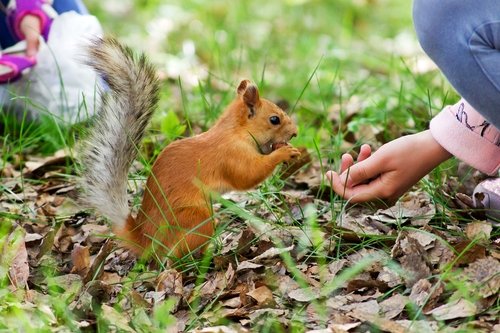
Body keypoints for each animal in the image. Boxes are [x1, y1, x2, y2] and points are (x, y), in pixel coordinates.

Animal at [81, 37, 298, 258]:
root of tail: (146, 241)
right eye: (274, 119)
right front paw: (284, 152)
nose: (295, 132)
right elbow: (248, 176)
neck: (235, 131)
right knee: (175, 255)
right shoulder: (232, 154)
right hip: (196, 218)